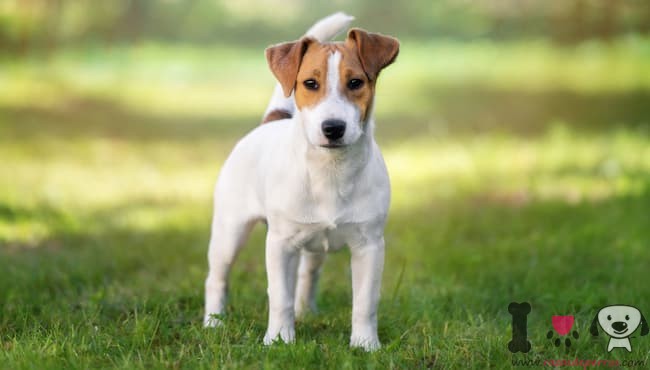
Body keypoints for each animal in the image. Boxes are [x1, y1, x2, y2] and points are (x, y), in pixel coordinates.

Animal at [202, 13, 398, 352]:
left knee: (307, 275)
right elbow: (279, 296)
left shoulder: (369, 246)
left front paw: (364, 344)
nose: (333, 128)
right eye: (310, 83)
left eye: (355, 83)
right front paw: (280, 339)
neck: (330, 171)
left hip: (313, 247)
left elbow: (365, 302)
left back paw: (304, 311)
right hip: (230, 231)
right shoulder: (280, 244)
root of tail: (270, 122)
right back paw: (213, 323)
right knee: (217, 277)